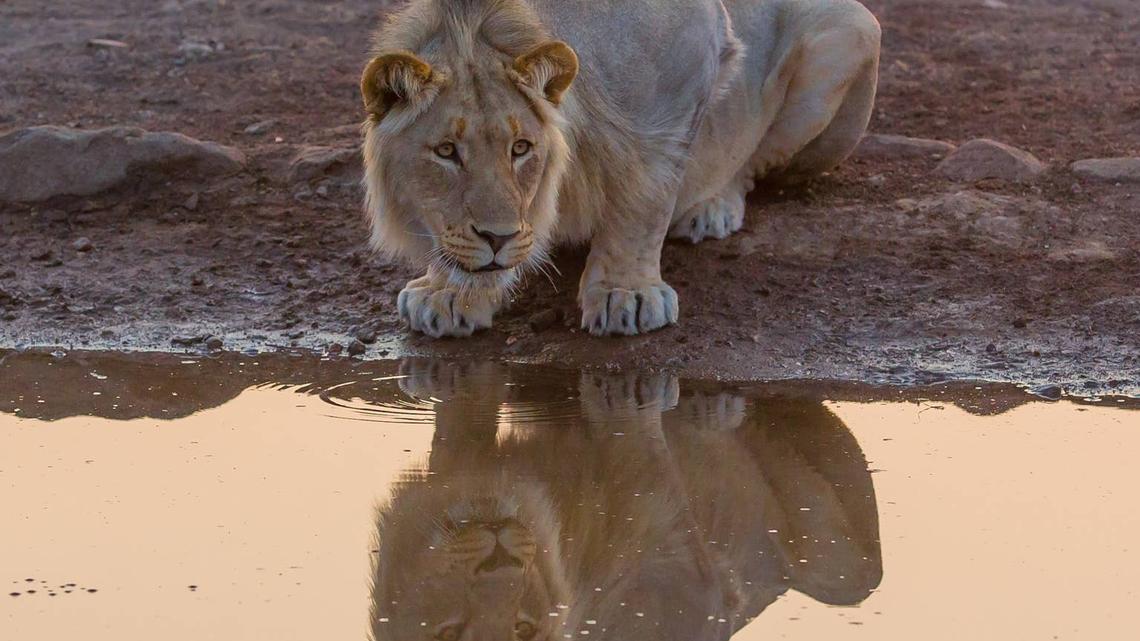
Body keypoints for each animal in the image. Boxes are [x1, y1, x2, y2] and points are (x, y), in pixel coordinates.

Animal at [360, 0, 881, 337]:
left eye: (521, 148)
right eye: (447, 151)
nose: (497, 238)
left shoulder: (688, 63)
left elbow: (646, 198)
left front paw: (625, 294)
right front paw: (447, 291)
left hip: (853, 29)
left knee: (753, 165)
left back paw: (711, 209)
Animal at [368, 362, 882, 640]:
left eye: (523, 627)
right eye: (448, 633)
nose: (499, 563)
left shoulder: (685, 573)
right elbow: (459, 415)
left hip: (847, 578)